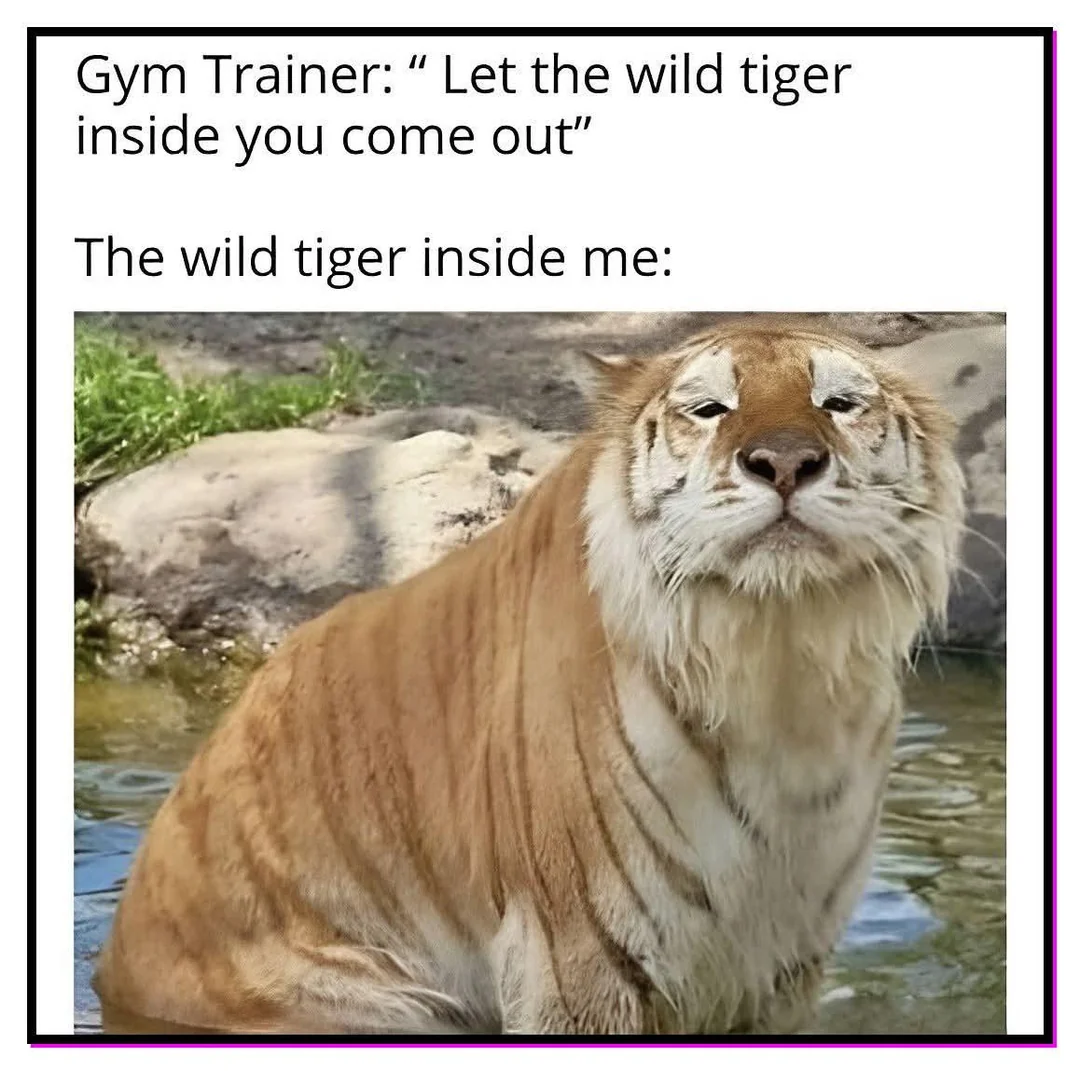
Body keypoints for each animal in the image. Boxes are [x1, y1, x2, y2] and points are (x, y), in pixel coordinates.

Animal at [93, 320, 965, 1035]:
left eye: (840, 403)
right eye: (711, 408)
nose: (785, 461)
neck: (778, 659)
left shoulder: (783, 964)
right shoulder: (583, 949)